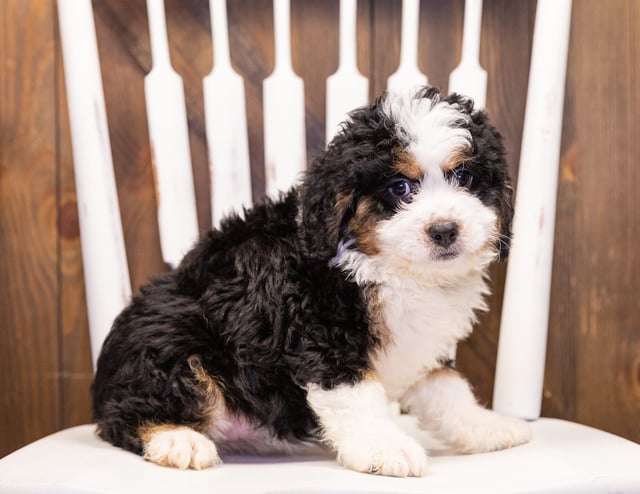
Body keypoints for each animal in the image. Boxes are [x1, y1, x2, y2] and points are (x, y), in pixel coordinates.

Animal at [90, 86, 528, 478]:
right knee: (127, 414)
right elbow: (356, 395)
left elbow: (447, 389)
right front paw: (384, 448)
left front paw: (485, 425)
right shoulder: (321, 330)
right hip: (171, 331)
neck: (389, 268)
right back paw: (177, 439)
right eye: (399, 187)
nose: (445, 230)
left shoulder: (422, 345)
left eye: (465, 177)